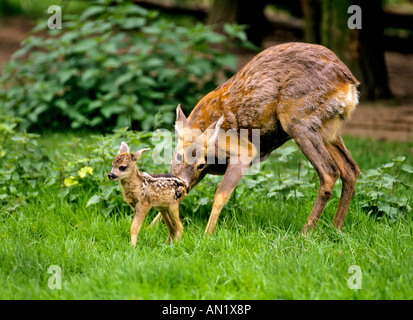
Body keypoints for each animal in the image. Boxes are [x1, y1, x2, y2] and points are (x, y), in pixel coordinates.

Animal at [169, 42, 358, 235]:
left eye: (201, 163)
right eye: (178, 155)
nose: (183, 183)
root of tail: (349, 83)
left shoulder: (244, 150)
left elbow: (220, 195)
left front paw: (207, 235)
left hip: (296, 119)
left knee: (329, 172)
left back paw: (304, 234)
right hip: (328, 129)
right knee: (350, 169)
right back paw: (335, 229)